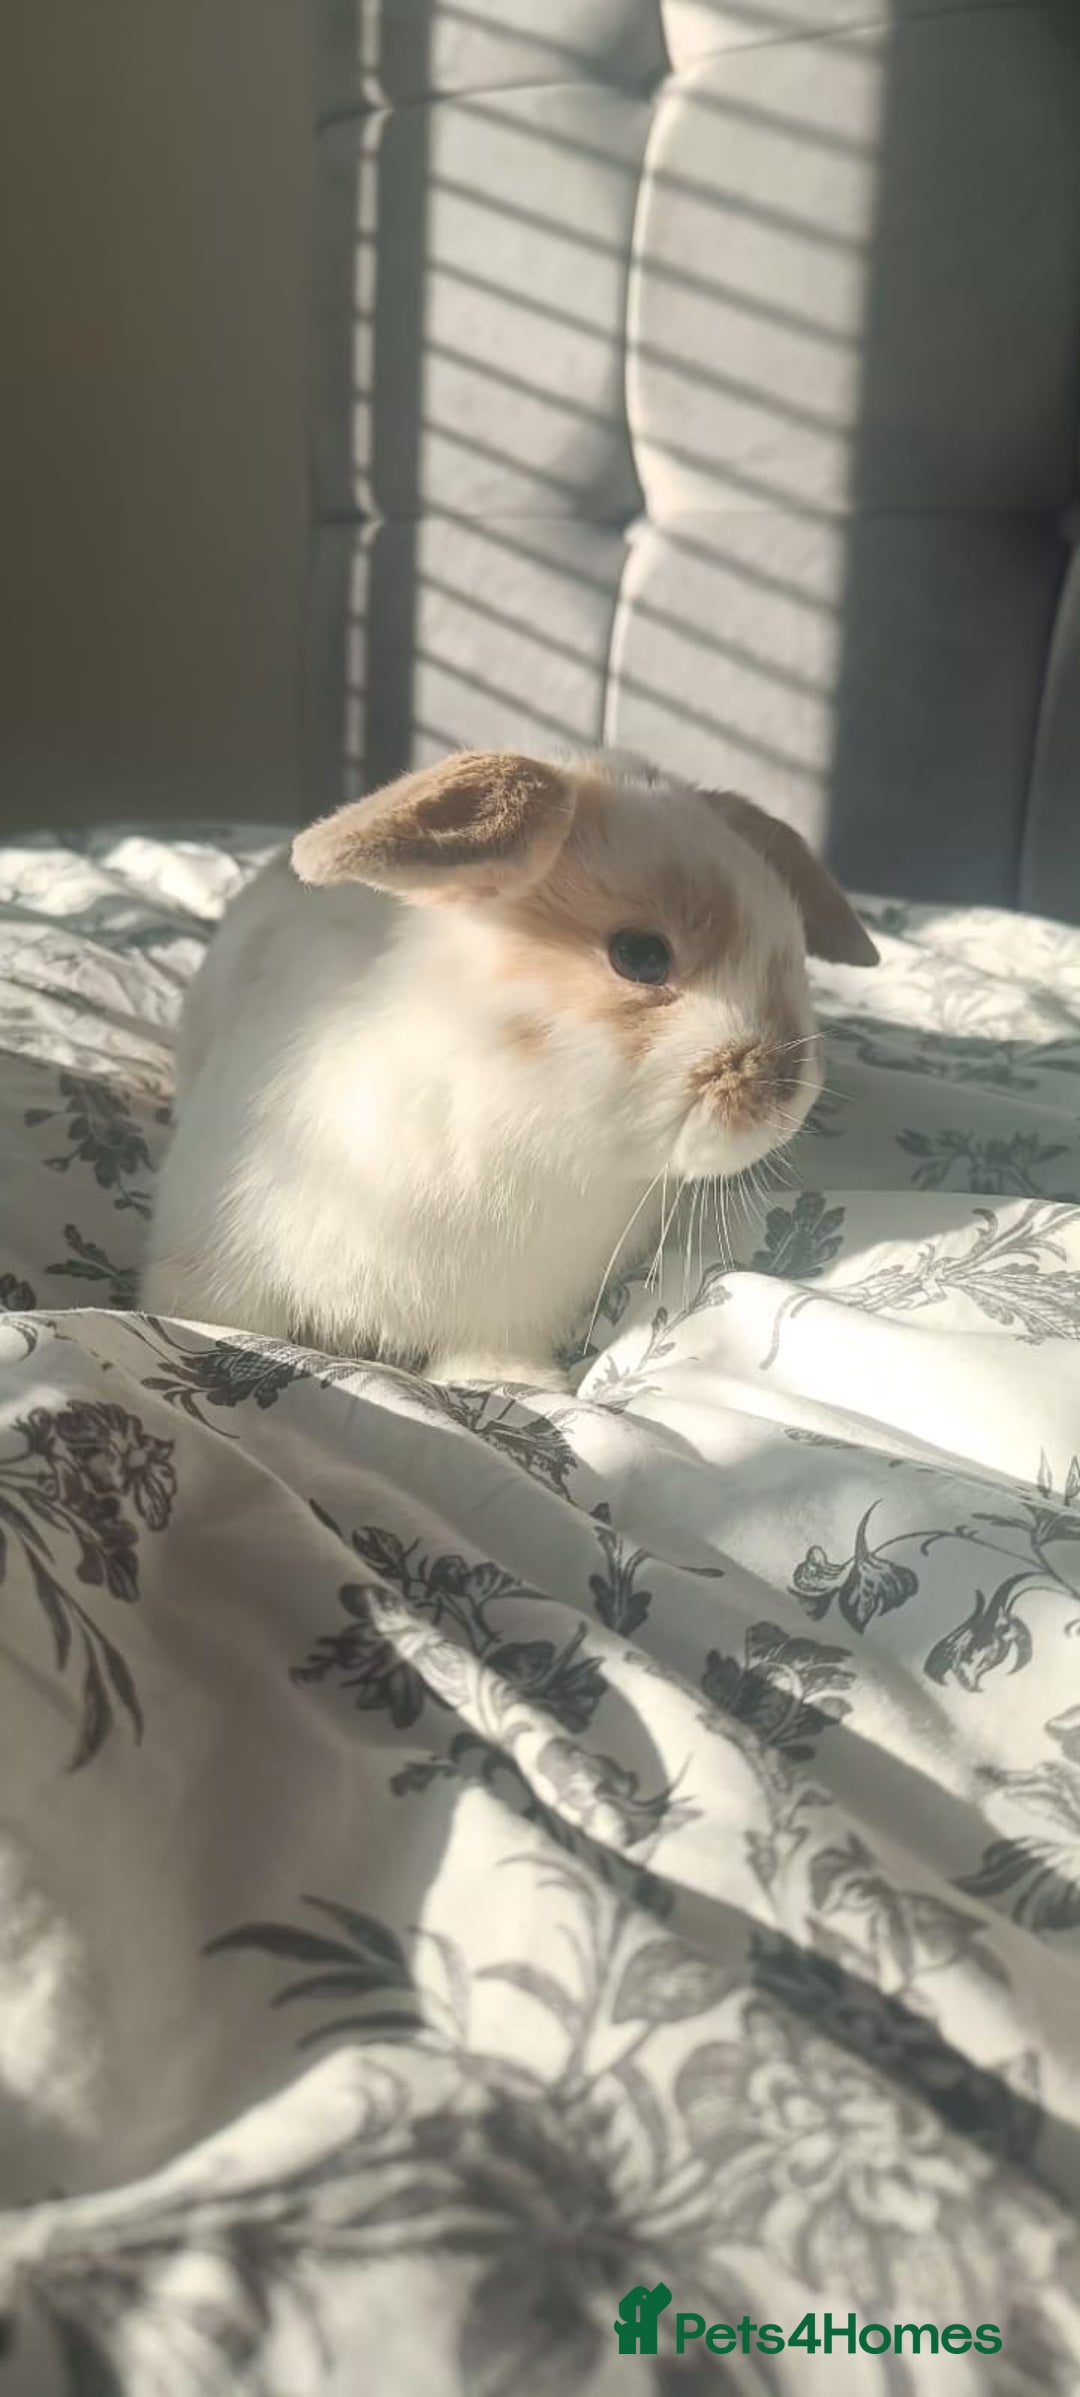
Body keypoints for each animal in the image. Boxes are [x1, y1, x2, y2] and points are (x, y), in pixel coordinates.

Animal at [141, 747, 877, 1388]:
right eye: (640, 955)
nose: (790, 1093)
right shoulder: (224, 1256)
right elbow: (225, 1320)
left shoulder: (509, 1311)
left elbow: (489, 1353)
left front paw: (510, 1384)